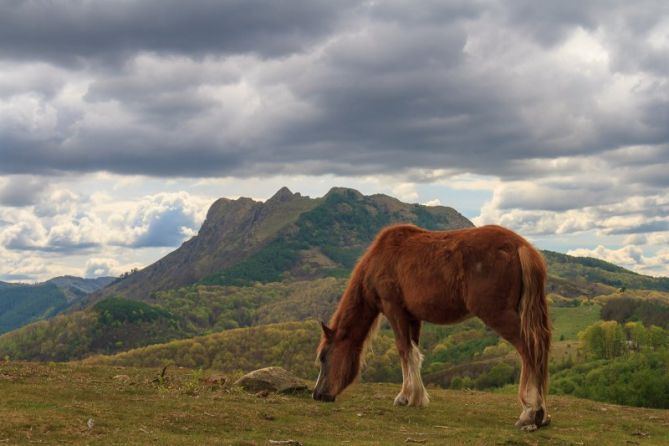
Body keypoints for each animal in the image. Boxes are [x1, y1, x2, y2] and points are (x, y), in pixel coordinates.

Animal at [310, 225, 552, 430]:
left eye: (323, 357)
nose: (317, 395)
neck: (381, 258)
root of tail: (521, 246)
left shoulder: (393, 309)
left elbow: (404, 351)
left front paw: (407, 397)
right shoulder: (413, 318)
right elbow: (414, 353)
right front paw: (414, 396)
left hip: (498, 314)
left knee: (530, 350)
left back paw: (530, 413)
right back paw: (541, 414)